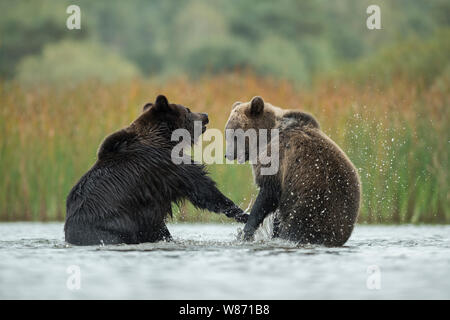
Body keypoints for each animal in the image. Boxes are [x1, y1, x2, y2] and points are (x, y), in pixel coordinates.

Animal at [64, 95, 246, 245]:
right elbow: (202, 189)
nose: (205, 115)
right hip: (113, 227)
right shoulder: (168, 165)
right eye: (187, 109)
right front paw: (242, 213)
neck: (166, 138)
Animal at [225, 96, 362, 246]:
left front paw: (245, 232)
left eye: (234, 135)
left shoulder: (278, 160)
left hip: (313, 206)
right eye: (227, 133)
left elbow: (267, 196)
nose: (228, 154)